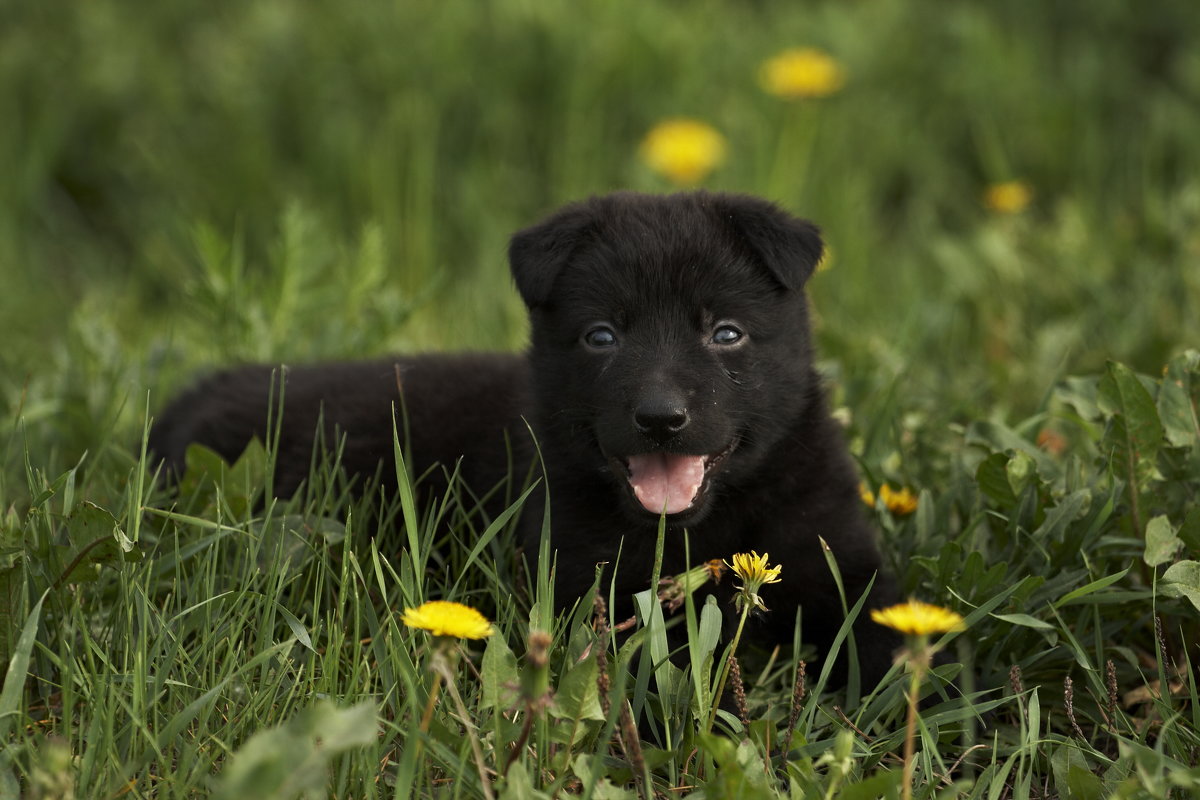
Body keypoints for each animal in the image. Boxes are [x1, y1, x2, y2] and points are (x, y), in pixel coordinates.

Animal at [150, 194, 902, 690]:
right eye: (602, 335)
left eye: (726, 333)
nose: (661, 418)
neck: (700, 530)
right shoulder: (581, 583)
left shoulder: (835, 556)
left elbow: (894, 639)